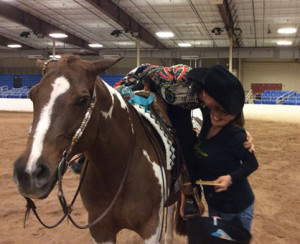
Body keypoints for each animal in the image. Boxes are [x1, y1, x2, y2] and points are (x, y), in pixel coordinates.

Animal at [12, 54, 179, 244]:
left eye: (83, 99)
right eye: (32, 95)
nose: (29, 172)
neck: (116, 171)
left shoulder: (151, 228)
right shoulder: (100, 230)